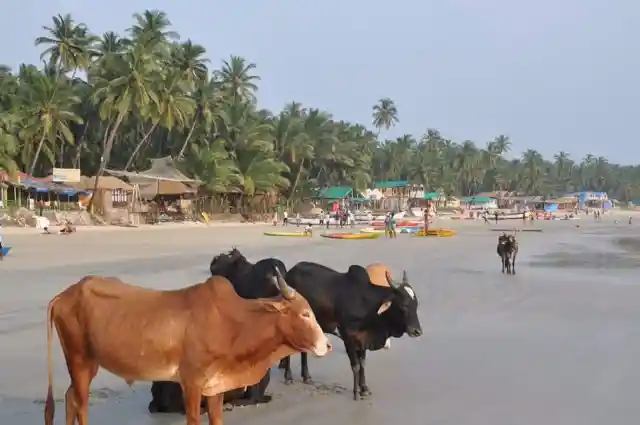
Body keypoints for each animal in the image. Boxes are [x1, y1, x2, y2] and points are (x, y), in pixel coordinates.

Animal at [43, 272, 330, 424]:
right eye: (305, 314)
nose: (326, 345)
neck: (233, 323)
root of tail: (64, 295)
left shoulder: (215, 386)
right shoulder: (191, 383)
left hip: (87, 363)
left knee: (69, 398)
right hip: (79, 359)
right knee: (80, 404)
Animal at [278, 262, 420, 398]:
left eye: (416, 304)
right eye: (403, 305)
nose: (417, 331)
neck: (369, 305)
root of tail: (289, 273)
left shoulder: (363, 339)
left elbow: (362, 363)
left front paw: (364, 389)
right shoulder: (348, 337)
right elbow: (355, 365)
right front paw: (356, 392)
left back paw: (306, 376)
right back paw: (288, 377)